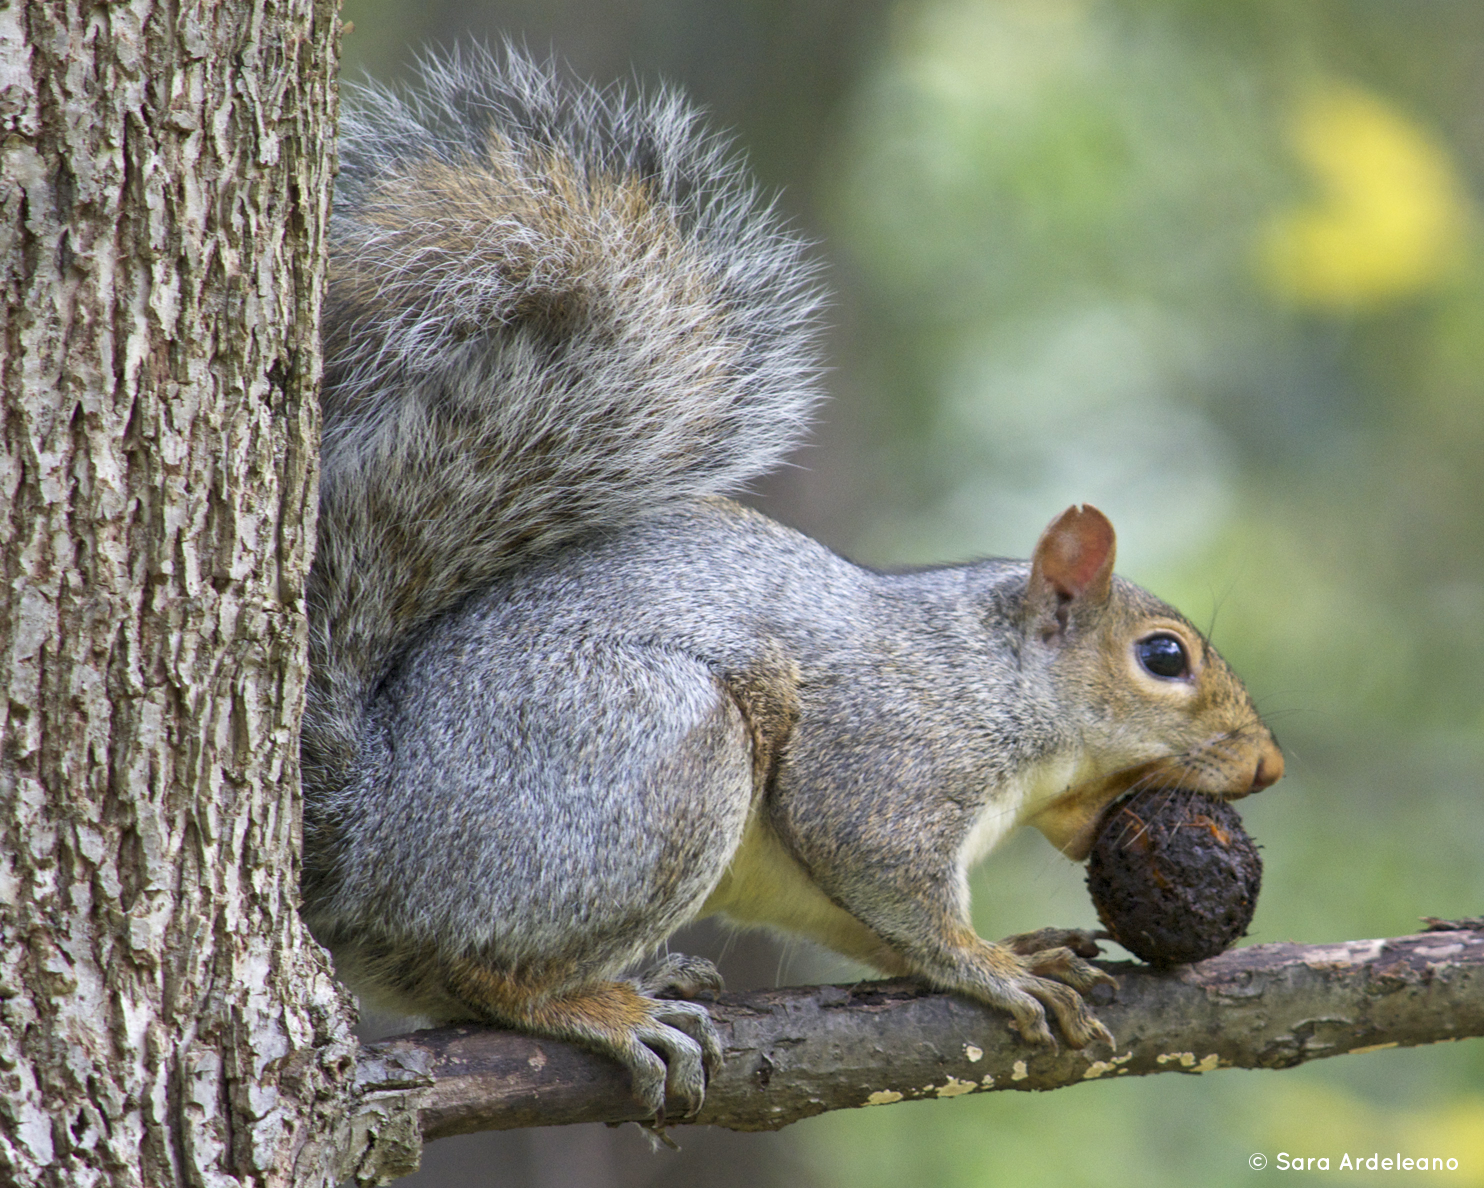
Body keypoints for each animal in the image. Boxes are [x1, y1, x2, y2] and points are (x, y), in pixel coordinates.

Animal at [299, 47, 1284, 1123]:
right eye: (1164, 658)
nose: (1267, 765)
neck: (997, 679)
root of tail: (368, 839)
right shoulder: (891, 757)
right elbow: (881, 866)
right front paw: (991, 964)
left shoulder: (820, 873)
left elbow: (863, 920)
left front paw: (1012, 945)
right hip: (652, 763)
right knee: (475, 971)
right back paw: (600, 1007)